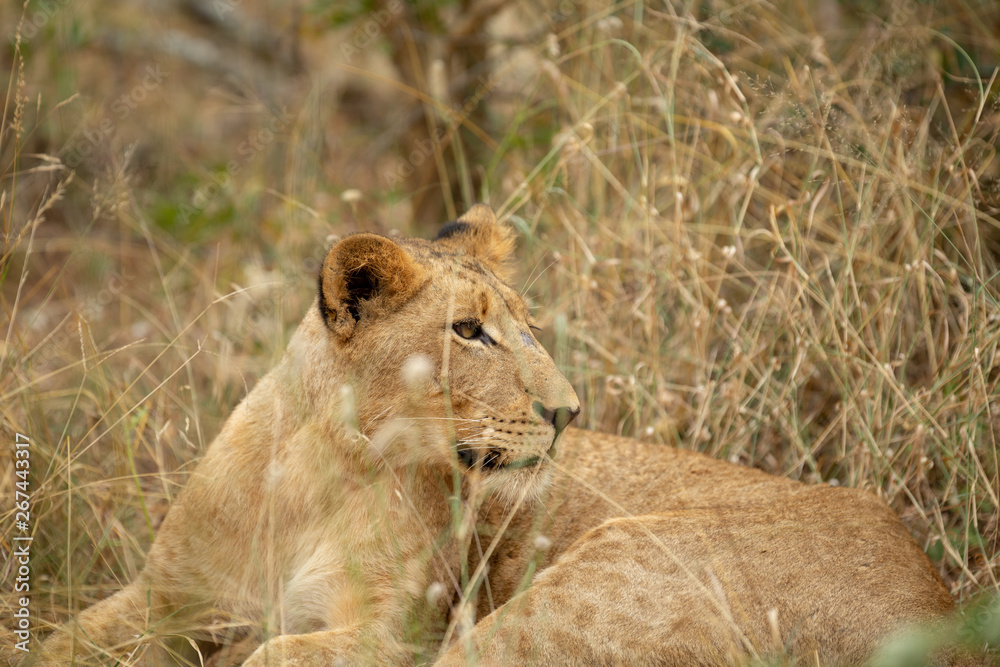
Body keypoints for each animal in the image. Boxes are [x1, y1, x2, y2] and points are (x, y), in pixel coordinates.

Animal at [28, 204, 963, 666]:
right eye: (470, 332)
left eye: (527, 325)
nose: (570, 410)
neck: (315, 469)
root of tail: (945, 612)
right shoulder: (164, 599)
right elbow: (56, 641)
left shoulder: (395, 634)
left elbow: (275, 654)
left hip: (581, 591)